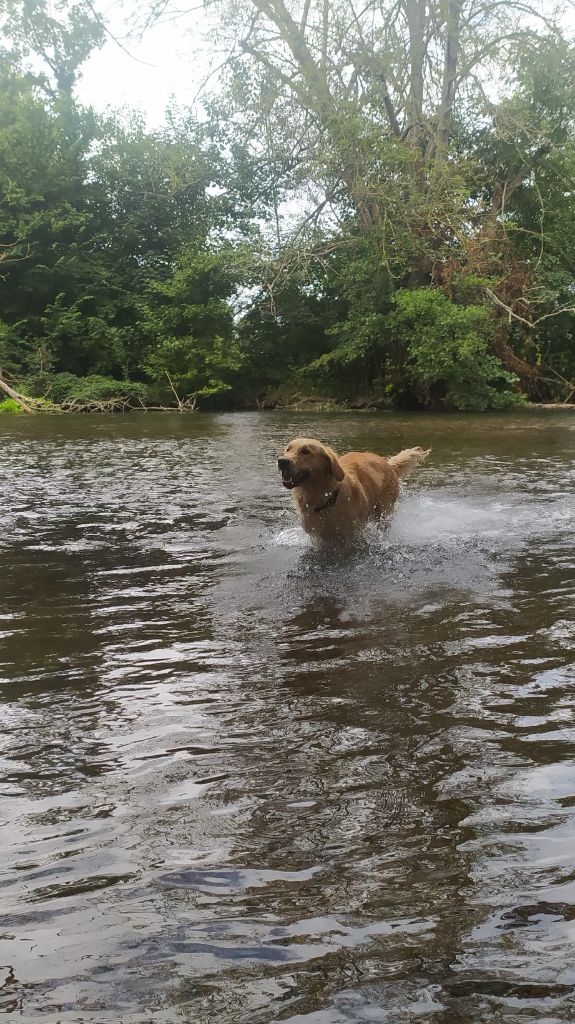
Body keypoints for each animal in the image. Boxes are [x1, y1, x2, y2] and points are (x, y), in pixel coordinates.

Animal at [276, 436, 427, 544]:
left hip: (385, 511)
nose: (281, 461)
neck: (325, 499)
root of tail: (389, 464)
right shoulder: (319, 536)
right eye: (288, 449)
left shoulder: (351, 535)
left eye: (305, 451)